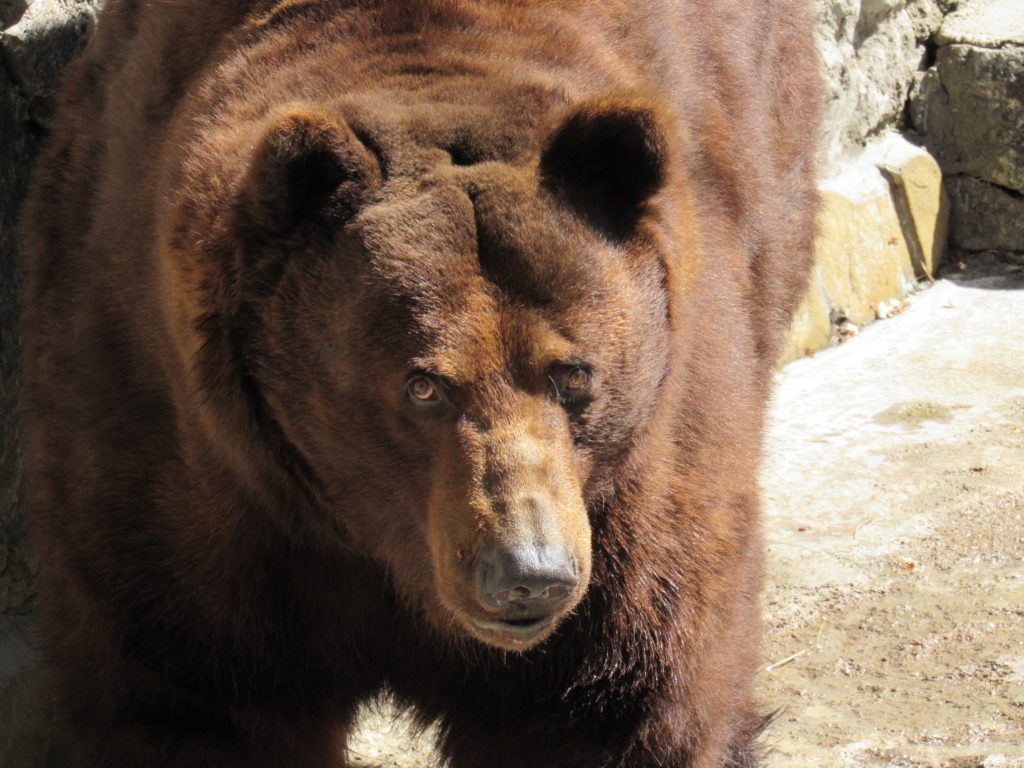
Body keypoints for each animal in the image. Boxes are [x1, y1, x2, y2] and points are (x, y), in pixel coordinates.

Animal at [19, 1, 819, 768]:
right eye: (423, 385)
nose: (529, 571)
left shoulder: (638, 482)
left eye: (573, 372)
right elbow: (188, 696)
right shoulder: (194, 464)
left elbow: (609, 706)